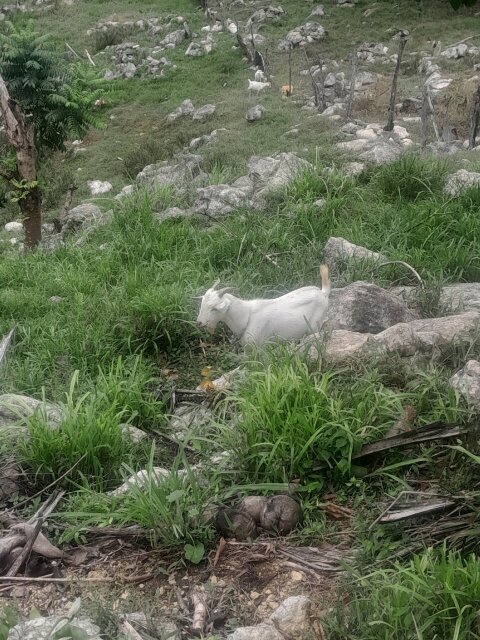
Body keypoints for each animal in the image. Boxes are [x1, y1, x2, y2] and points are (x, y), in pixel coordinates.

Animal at [196, 265, 330, 346]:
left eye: (214, 308)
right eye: (202, 304)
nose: (199, 322)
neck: (247, 316)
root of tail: (322, 292)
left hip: (314, 326)